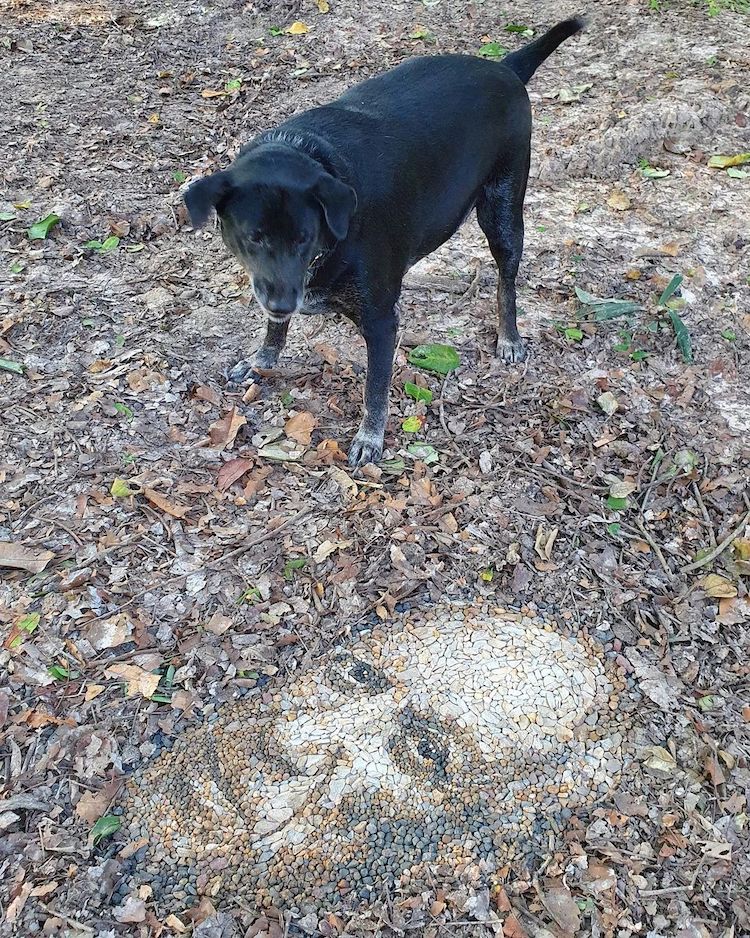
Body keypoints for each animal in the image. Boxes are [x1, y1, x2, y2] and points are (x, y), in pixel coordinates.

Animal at [185, 16, 584, 466]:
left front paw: (370, 438)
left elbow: (375, 387)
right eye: (254, 237)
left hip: (502, 211)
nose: (285, 304)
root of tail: (505, 68)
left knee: (507, 280)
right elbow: (274, 329)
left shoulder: (380, 322)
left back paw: (509, 336)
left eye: (306, 238)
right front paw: (261, 360)